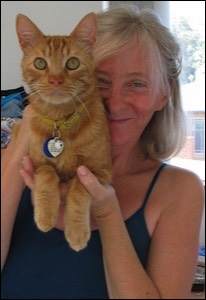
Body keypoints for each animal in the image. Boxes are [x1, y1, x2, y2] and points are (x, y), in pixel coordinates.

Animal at [15, 12, 112, 251]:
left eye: (73, 63)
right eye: (40, 63)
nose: (56, 80)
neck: (61, 123)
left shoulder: (99, 171)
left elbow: (78, 189)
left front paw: (76, 231)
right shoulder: (38, 163)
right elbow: (47, 174)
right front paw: (45, 215)